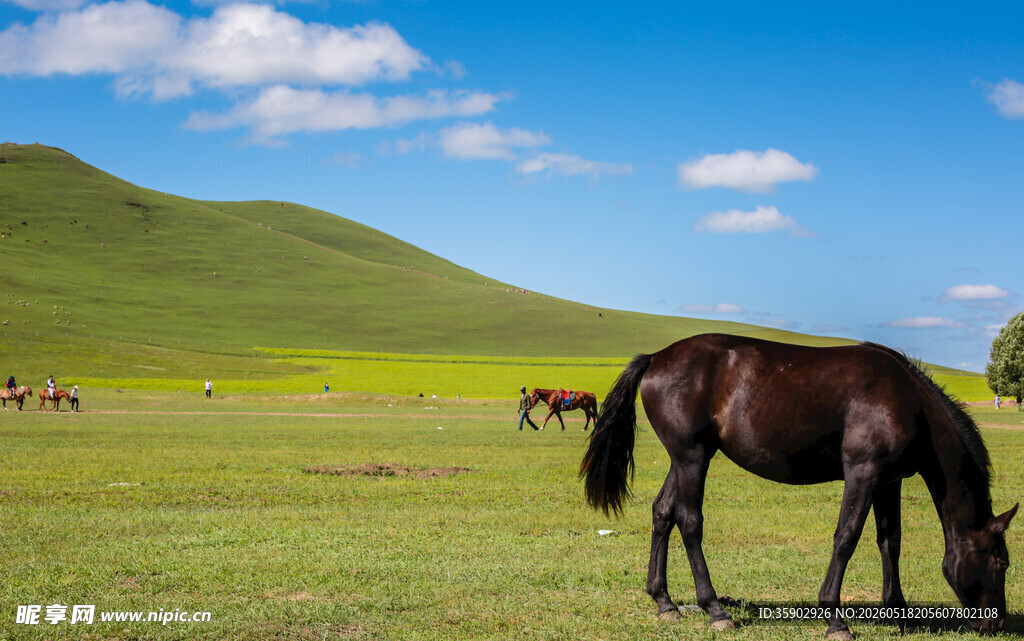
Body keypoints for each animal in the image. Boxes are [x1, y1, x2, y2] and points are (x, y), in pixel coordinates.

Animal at [580, 334, 1016, 638]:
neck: (909, 401)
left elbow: (889, 540)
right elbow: (847, 537)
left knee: (663, 513)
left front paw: (899, 611)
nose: (996, 624)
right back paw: (714, 609)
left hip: (685, 458)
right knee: (689, 522)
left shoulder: (887, 481)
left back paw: (665, 601)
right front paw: (834, 618)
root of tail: (657, 358)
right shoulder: (863, 471)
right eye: (1001, 563)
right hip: (692, 458)